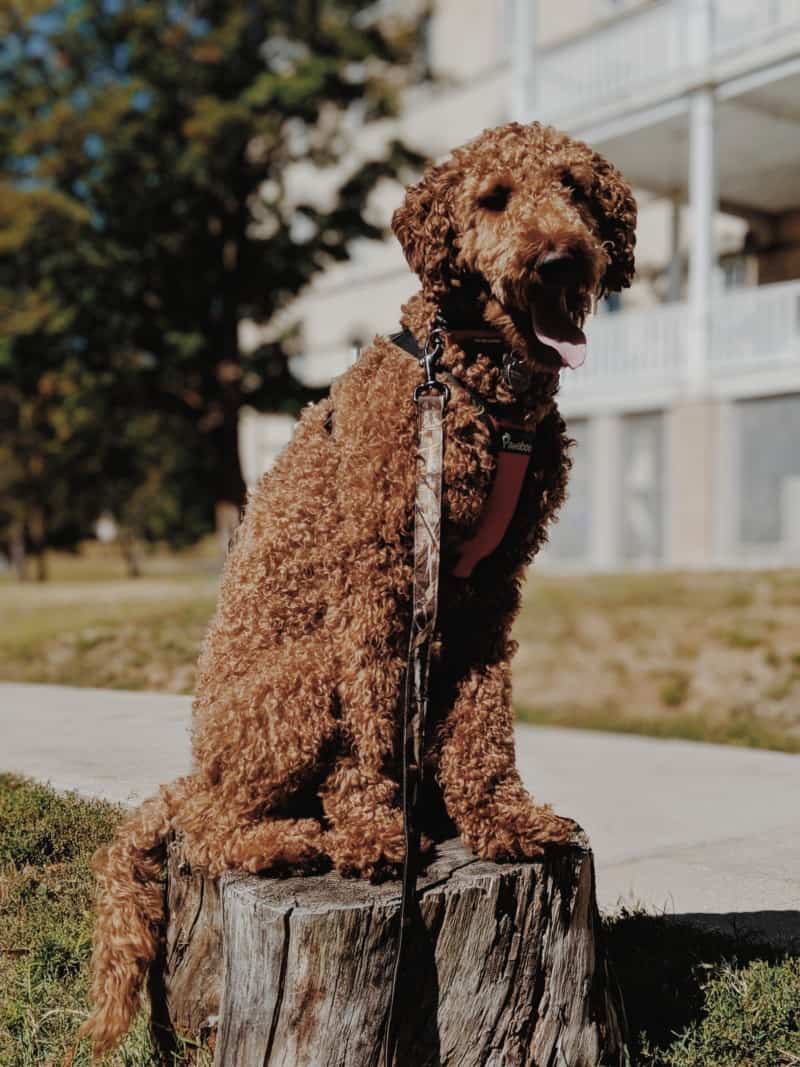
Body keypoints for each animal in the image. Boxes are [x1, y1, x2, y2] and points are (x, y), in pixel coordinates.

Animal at [83, 121, 640, 1054]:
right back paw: (291, 841)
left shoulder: (492, 587)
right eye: (494, 199)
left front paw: (503, 817)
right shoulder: (377, 575)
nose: (562, 258)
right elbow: (374, 726)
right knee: (213, 822)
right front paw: (377, 831)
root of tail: (194, 766)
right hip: (300, 683)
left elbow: (485, 719)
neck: (473, 389)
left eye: (574, 188)